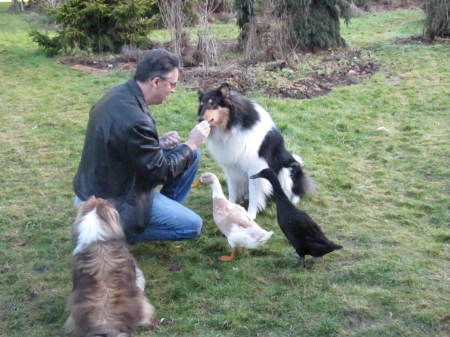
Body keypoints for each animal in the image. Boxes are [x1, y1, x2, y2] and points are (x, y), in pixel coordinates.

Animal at [198, 83, 312, 219]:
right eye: (201, 104)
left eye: (212, 103)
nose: (199, 119)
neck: (231, 126)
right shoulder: (230, 167)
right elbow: (232, 189)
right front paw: (230, 205)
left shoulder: (255, 168)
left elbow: (254, 194)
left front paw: (250, 215)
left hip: (287, 171)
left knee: (293, 193)